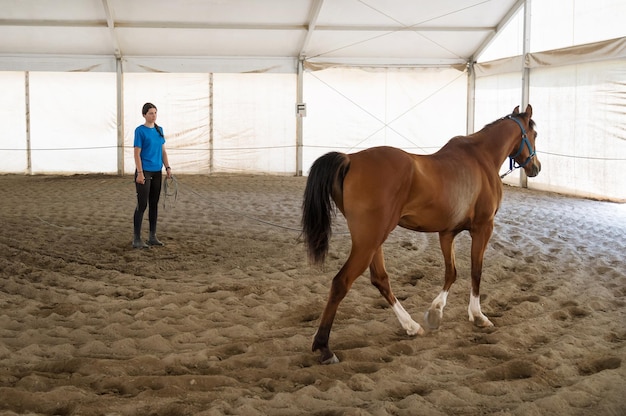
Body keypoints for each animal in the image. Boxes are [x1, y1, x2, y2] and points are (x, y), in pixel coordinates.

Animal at [300, 105, 540, 364]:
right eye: (534, 134)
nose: (536, 167)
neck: (481, 157)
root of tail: (350, 159)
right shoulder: (483, 228)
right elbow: (476, 271)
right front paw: (477, 316)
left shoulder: (447, 233)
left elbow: (451, 272)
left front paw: (435, 312)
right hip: (368, 242)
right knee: (341, 283)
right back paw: (324, 347)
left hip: (373, 241)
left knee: (380, 279)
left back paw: (412, 326)